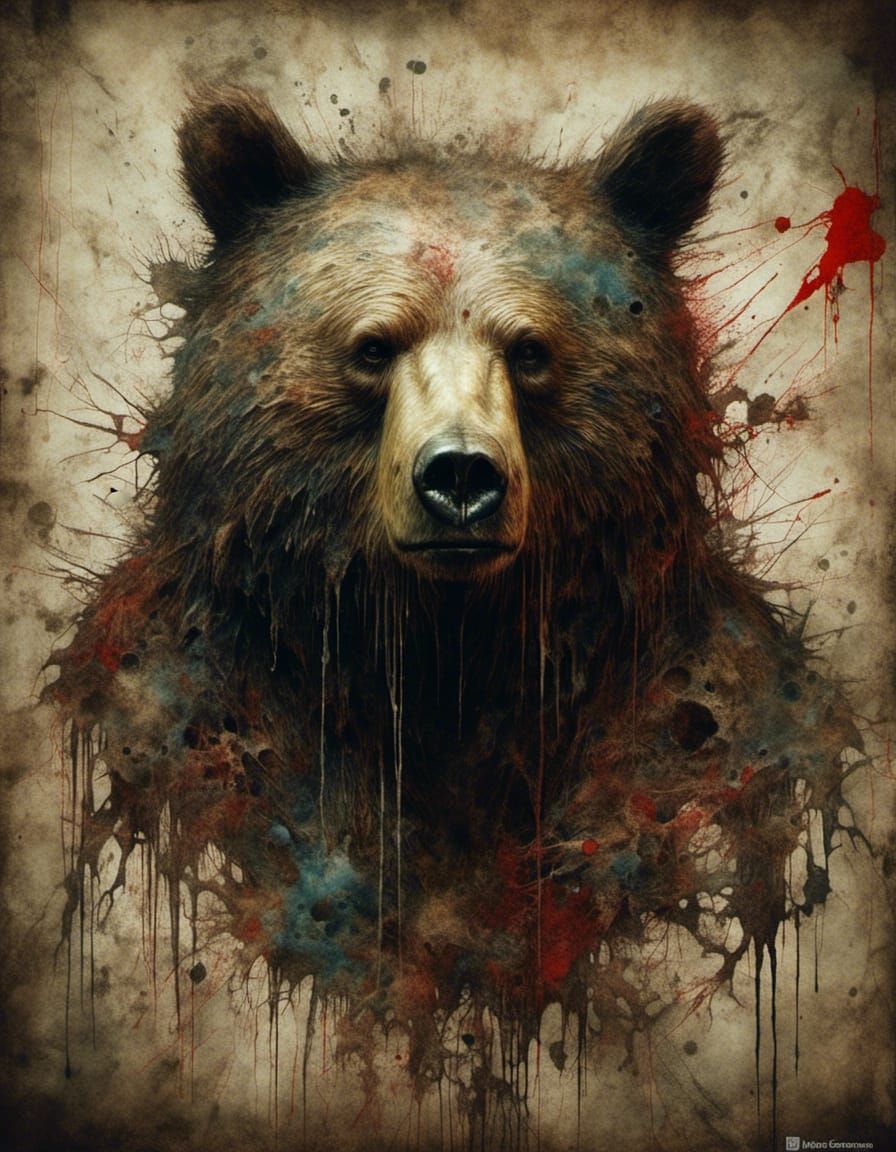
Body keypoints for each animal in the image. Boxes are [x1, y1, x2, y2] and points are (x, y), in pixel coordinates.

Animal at [50, 85, 857, 1128]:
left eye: (532, 349)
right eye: (372, 346)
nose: (463, 477)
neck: (446, 661)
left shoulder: (704, 728)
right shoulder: (184, 704)